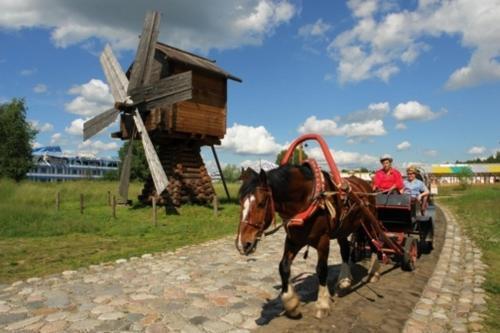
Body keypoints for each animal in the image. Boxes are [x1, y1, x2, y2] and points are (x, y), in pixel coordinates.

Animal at [234, 165, 378, 318]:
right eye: (240, 202)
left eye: (261, 203)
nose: (242, 243)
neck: (308, 200)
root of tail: (365, 183)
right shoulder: (293, 240)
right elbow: (283, 267)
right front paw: (291, 303)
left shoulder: (323, 240)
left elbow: (321, 269)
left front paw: (322, 304)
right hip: (342, 230)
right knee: (345, 250)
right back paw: (344, 281)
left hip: (368, 222)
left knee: (375, 243)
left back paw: (374, 273)